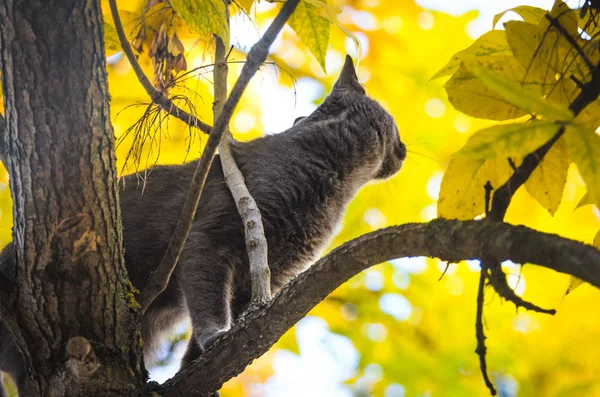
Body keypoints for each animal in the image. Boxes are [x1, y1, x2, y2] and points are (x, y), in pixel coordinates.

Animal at [0, 55, 408, 392]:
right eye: (397, 130)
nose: (405, 150)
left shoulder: (267, 277)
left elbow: (217, 323)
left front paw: (200, 368)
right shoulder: (211, 236)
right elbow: (209, 302)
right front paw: (216, 338)